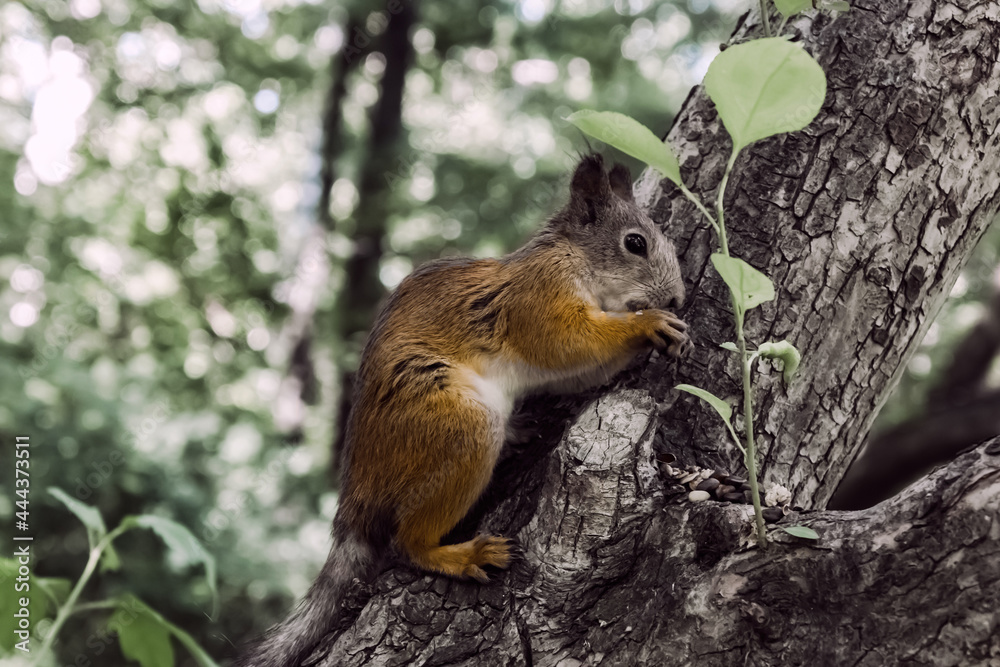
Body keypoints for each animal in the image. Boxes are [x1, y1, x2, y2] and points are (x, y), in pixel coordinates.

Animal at [236, 154, 691, 666]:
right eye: (635, 243)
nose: (677, 299)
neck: (573, 258)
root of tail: (356, 499)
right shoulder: (536, 298)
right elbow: (567, 341)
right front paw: (648, 324)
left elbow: (578, 370)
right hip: (456, 423)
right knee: (406, 543)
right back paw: (462, 555)